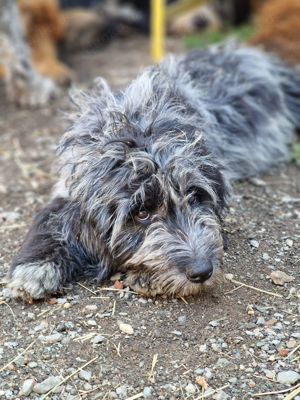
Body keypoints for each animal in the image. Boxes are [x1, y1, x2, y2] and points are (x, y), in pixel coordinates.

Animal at [5, 43, 300, 300]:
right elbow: (49, 217)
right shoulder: (69, 183)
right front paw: (34, 268)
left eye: (195, 197)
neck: (137, 129)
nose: (202, 271)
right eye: (142, 213)